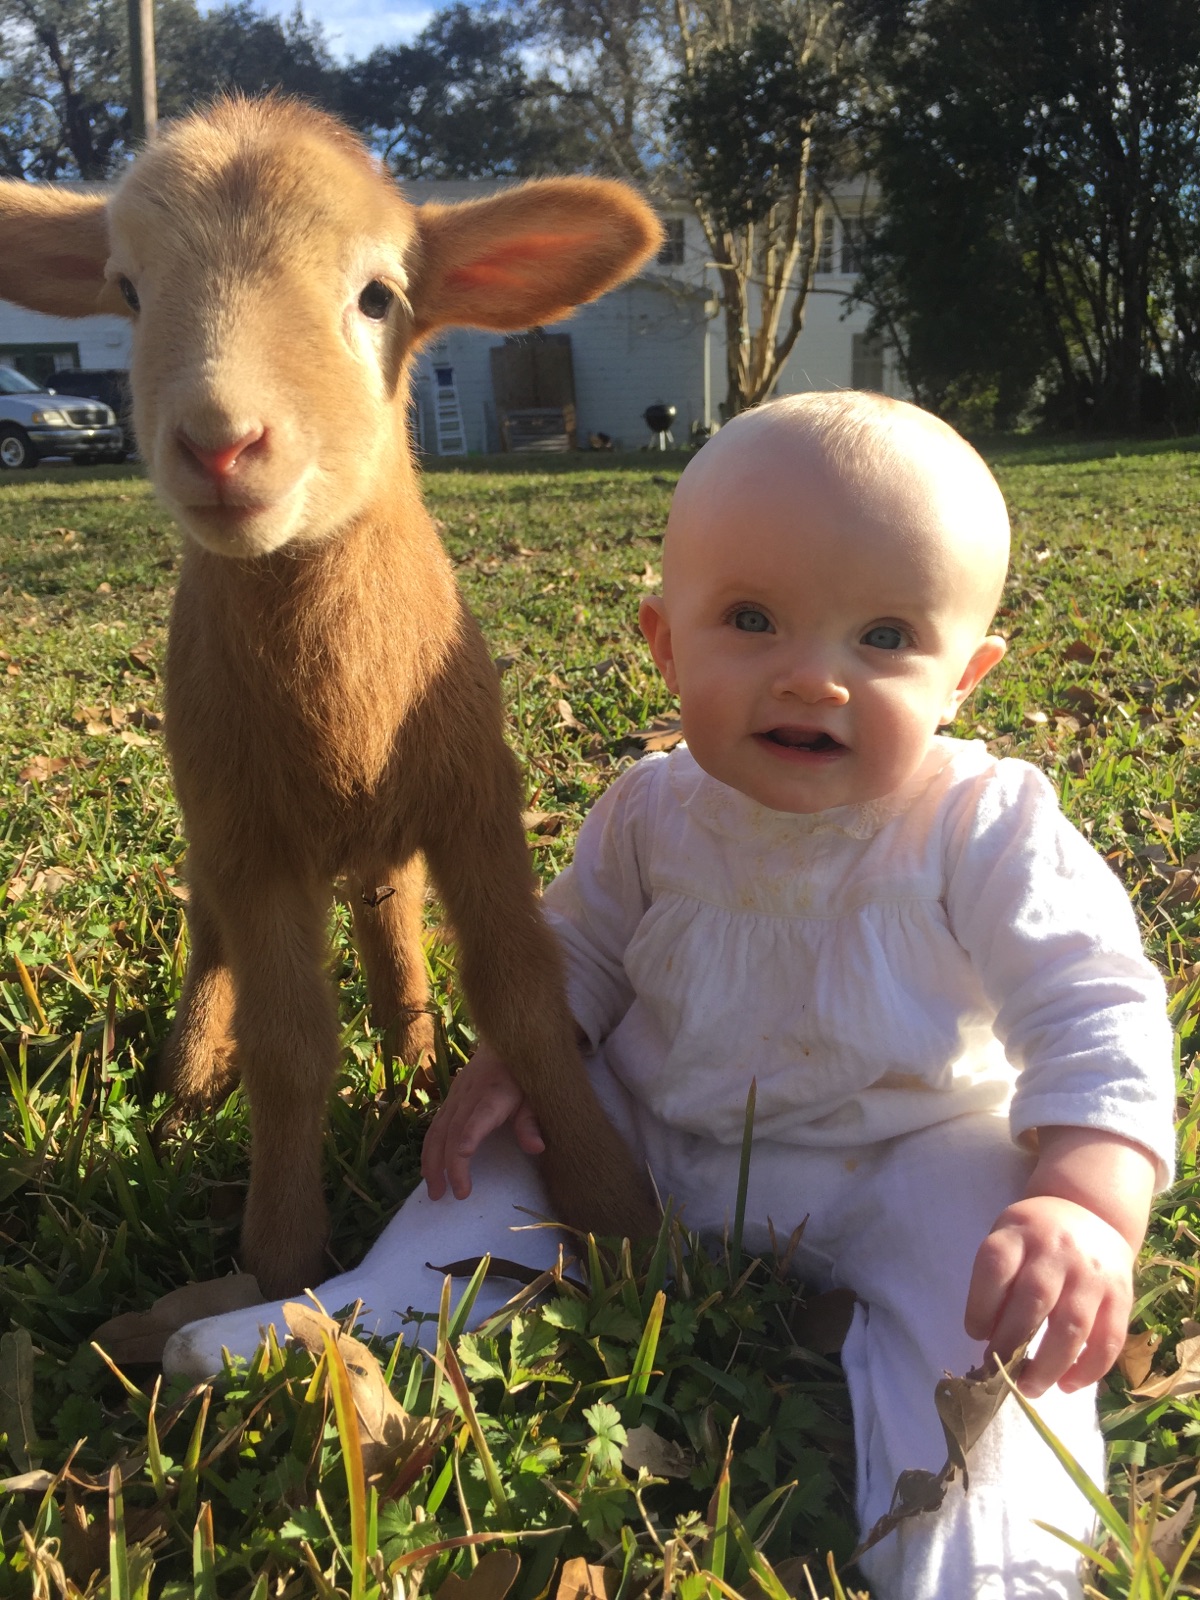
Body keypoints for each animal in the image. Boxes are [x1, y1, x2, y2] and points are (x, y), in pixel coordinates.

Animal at [0, 97, 662, 1297]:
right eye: (128, 290)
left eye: (378, 296)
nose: (221, 443)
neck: (338, 699)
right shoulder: (248, 834)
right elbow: (290, 1046)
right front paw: (279, 1255)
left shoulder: (476, 799)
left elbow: (527, 1005)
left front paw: (617, 1213)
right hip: (212, 812)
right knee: (211, 935)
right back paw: (186, 1082)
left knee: (389, 918)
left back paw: (412, 1054)